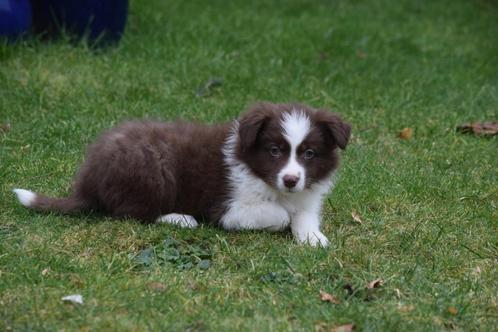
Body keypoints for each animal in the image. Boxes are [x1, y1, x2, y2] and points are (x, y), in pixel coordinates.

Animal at [13, 102, 352, 246]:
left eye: (309, 154)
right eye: (274, 151)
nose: (291, 180)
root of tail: (88, 181)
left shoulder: (307, 196)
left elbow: (304, 214)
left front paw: (312, 237)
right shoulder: (228, 208)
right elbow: (280, 215)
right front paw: (287, 220)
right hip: (152, 167)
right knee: (132, 212)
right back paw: (179, 218)